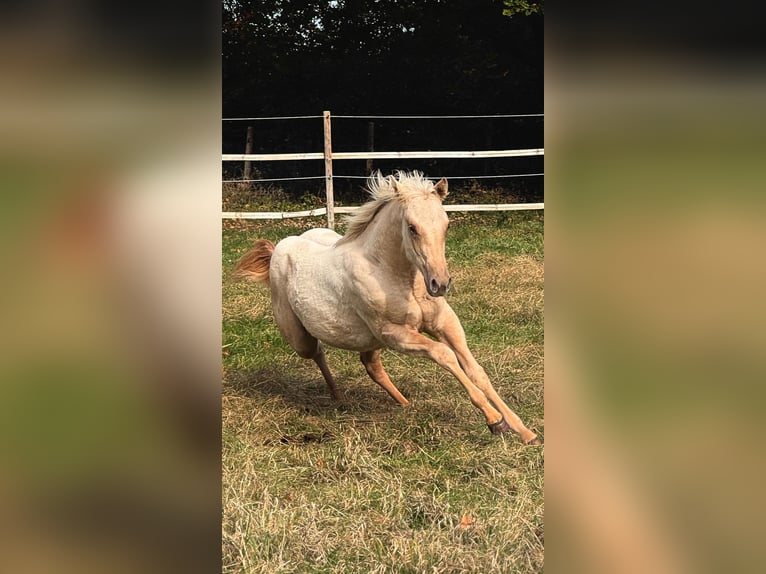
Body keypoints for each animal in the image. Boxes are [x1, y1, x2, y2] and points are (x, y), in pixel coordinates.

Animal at [235, 171, 540, 444]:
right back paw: (338, 397)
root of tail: (278, 248)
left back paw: (404, 403)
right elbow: (445, 355)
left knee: (371, 365)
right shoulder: (397, 335)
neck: (397, 275)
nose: (440, 284)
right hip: (303, 339)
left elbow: (476, 370)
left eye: (446, 225)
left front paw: (525, 432)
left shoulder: (444, 323)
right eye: (412, 228)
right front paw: (495, 421)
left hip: (369, 339)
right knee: (319, 353)